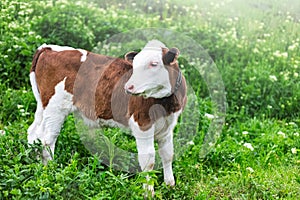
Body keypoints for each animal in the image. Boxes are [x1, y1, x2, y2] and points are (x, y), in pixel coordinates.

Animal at [28, 39, 188, 195]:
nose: (128, 87)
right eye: (135, 64)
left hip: (42, 105)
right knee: (47, 140)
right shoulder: (142, 124)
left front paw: (170, 186)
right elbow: (148, 160)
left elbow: (168, 154)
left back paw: (34, 161)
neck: (166, 104)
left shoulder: (168, 126)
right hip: (55, 107)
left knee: (34, 132)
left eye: (154, 64)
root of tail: (48, 48)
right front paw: (148, 192)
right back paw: (50, 171)